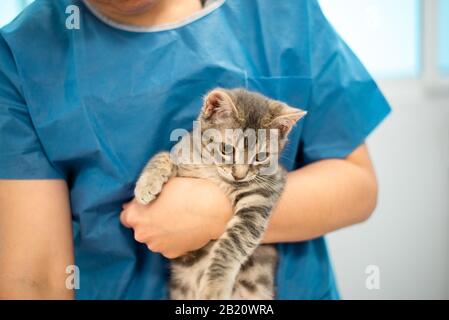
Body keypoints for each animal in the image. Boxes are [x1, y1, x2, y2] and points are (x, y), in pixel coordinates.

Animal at [135, 88, 306, 300]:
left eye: (261, 156)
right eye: (226, 149)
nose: (239, 175)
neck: (212, 170)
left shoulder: (260, 198)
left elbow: (231, 245)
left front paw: (214, 286)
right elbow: (164, 155)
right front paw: (146, 184)